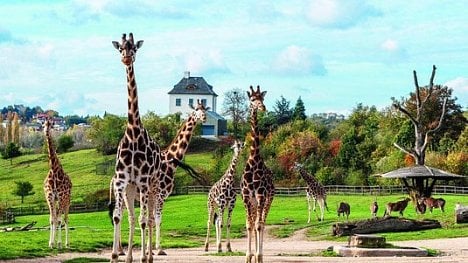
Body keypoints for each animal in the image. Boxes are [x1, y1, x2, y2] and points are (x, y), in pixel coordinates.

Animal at [148, 101, 208, 260]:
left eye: (205, 109)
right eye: (196, 110)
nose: (204, 117)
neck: (171, 162)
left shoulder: (157, 196)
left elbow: (154, 219)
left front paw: (152, 250)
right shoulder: (160, 195)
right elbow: (157, 219)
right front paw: (159, 249)